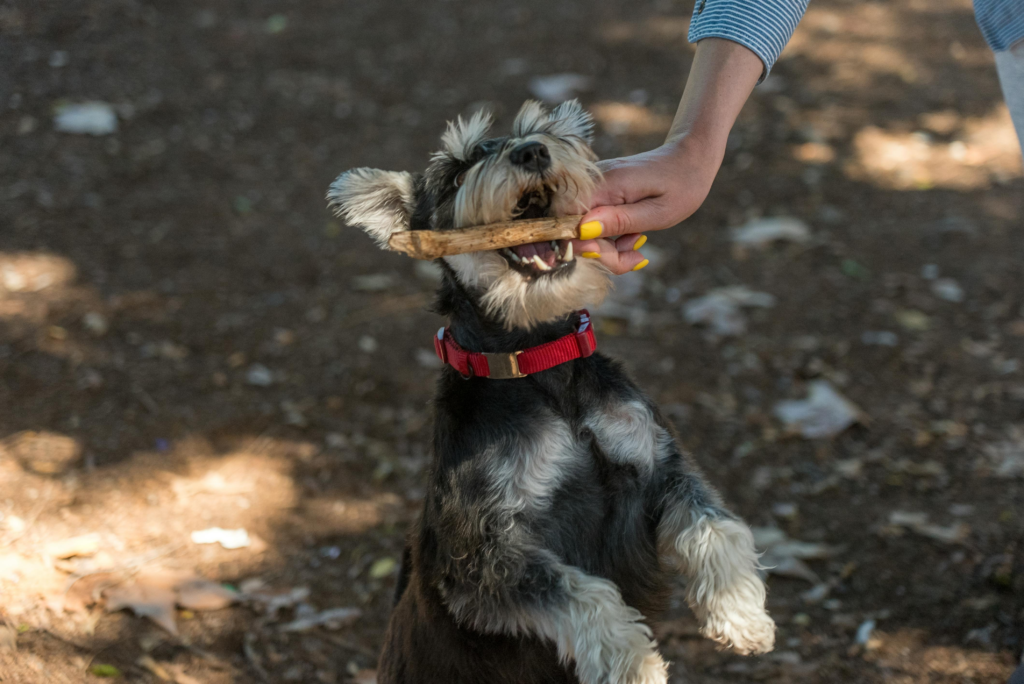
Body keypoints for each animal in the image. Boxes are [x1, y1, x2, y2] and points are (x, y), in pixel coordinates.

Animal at [329, 101, 774, 684]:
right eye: (455, 174)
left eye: (540, 132)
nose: (532, 153)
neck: (542, 366)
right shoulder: (483, 557)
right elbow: (585, 595)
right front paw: (636, 665)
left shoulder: (661, 467)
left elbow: (717, 528)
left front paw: (742, 615)